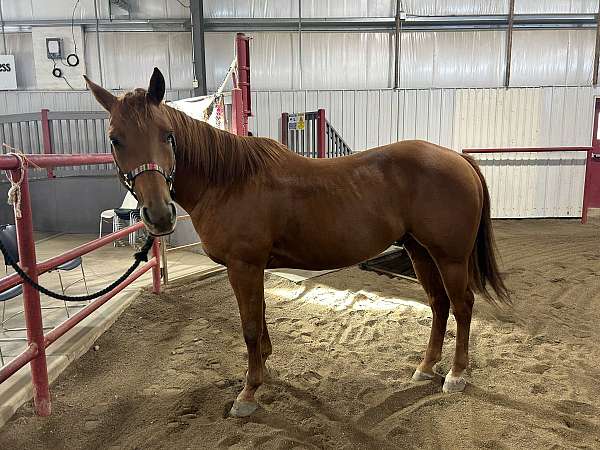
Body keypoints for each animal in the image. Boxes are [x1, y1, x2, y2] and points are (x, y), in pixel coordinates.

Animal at [83, 68, 506, 416]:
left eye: (168, 135)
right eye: (116, 140)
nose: (159, 215)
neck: (228, 181)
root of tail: (458, 160)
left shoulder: (244, 266)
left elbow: (250, 326)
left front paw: (248, 393)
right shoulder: (252, 269)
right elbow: (259, 321)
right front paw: (264, 370)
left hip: (450, 257)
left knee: (462, 305)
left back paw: (456, 374)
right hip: (420, 252)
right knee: (438, 304)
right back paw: (425, 367)